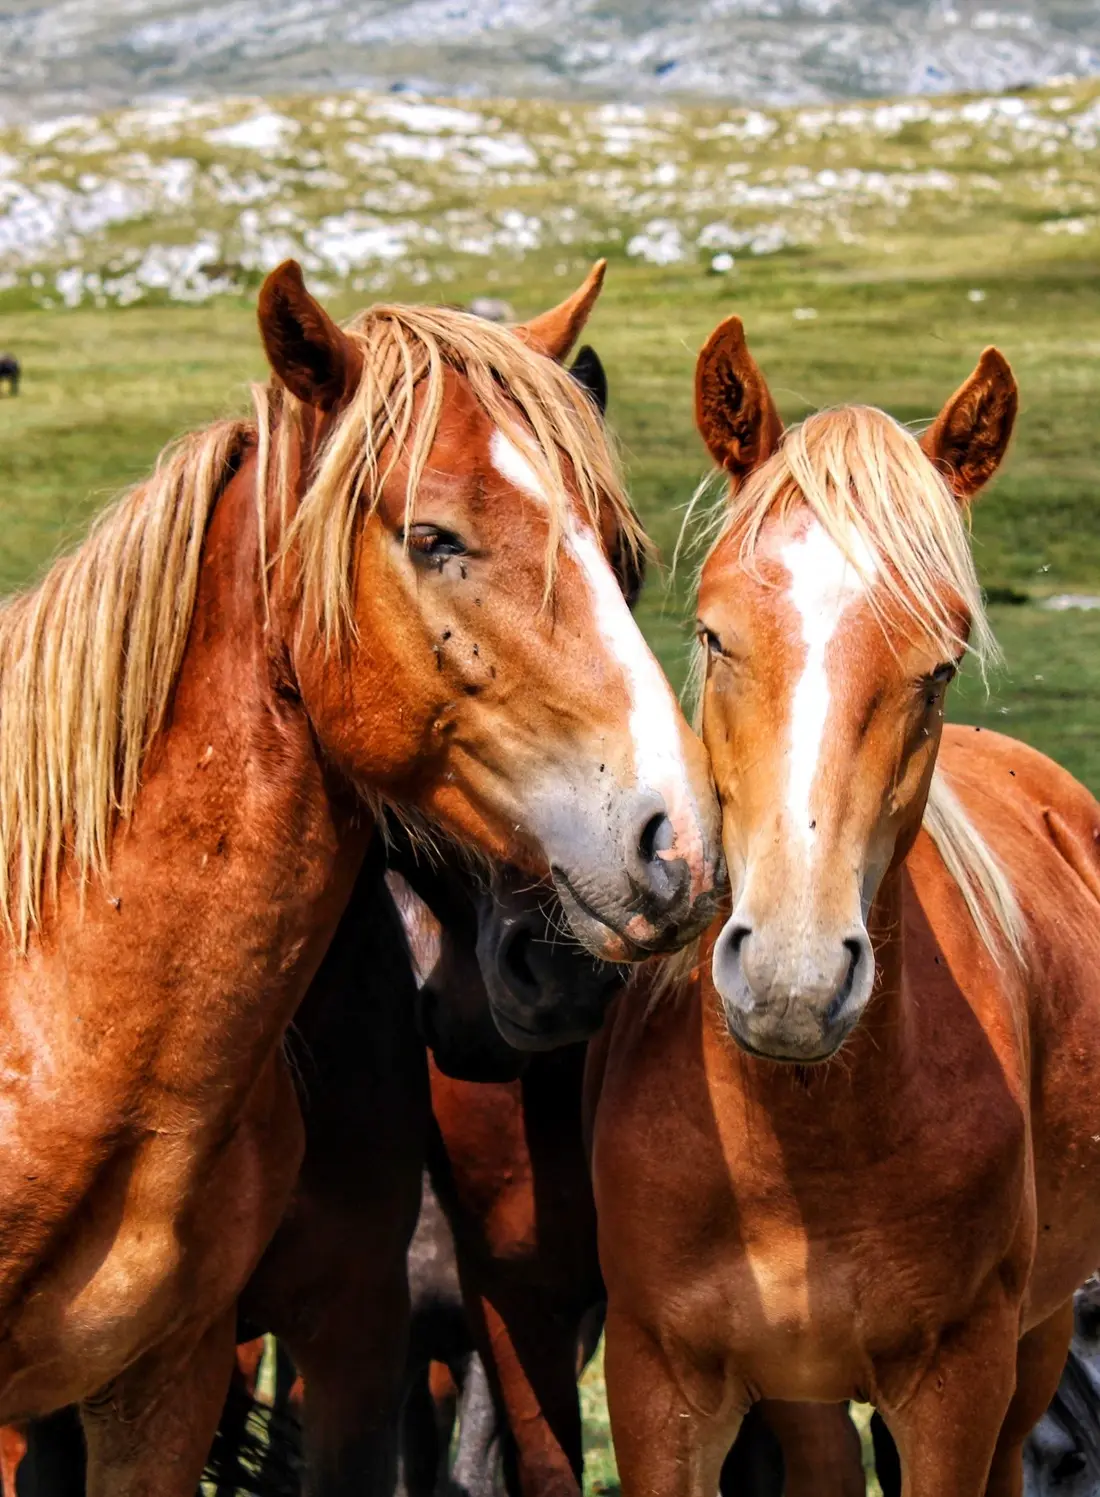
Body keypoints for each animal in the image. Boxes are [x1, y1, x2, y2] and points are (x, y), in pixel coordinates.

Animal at [588, 314, 1100, 1497]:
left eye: (940, 666)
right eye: (713, 634)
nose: (792, 978)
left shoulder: (958, 1389)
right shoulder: (658, 1382)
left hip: (1035, 1343)